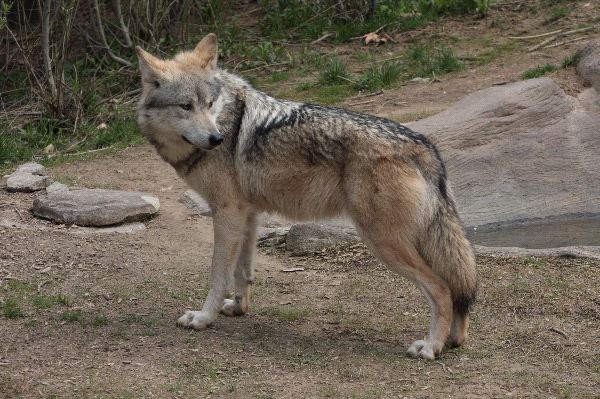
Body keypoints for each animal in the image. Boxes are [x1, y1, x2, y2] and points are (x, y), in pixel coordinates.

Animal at [135, 33, 478, 360]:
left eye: (209, 103)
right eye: (186, 106)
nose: (216, 139)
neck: (227, 116)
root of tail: (425, 145)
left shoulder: (226, 212)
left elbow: (218, 274)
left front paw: (204, 317)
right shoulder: (248, 213)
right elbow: (243, 272)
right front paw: (237, 307)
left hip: (383, 242)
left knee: (443, 289)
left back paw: (431, 346)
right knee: (458, 287)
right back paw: (454, 339)